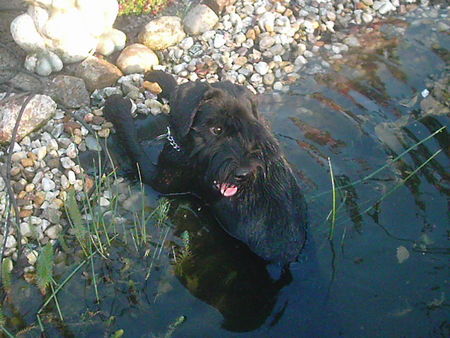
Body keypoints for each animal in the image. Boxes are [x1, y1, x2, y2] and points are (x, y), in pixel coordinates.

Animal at [103, 71, 308, 266]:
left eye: (250, 130)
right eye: (216, 130)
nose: (244, 174)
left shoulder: (159, 179)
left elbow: (132, 143)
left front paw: (117, 108)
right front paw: (160, 76)